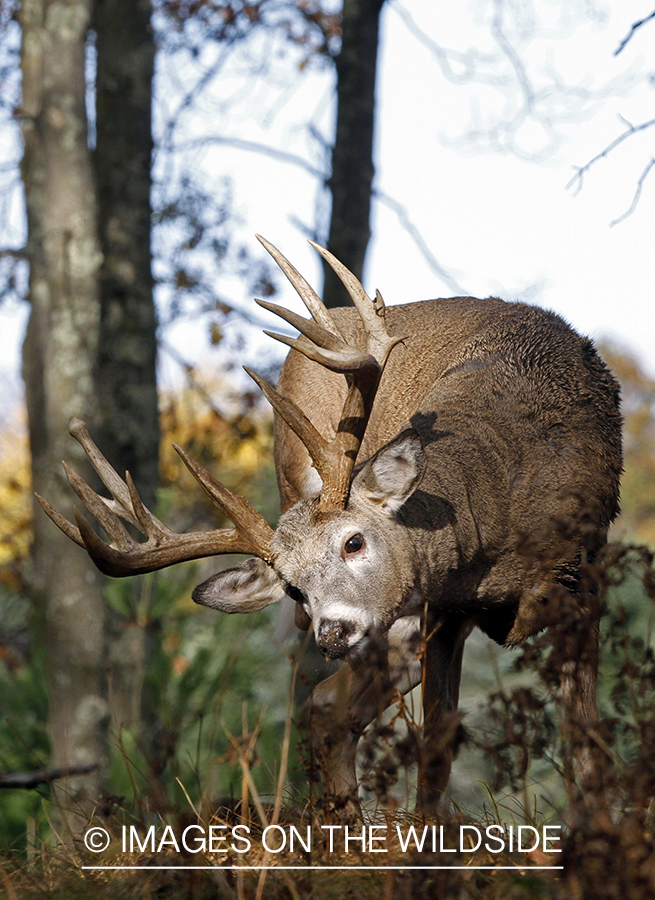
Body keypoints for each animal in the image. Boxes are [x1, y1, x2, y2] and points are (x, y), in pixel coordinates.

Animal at [38, 236, 624, 812]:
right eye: (293, 587)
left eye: (354, 541)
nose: (334, 631)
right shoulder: (440, 611)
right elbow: (433, 757)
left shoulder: (581, 582)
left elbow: (586, 754)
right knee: (319, 700)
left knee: (328, 706)